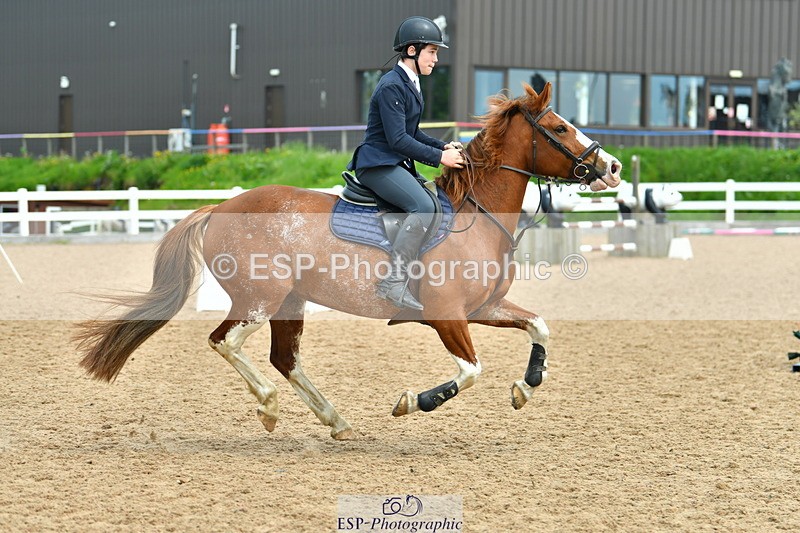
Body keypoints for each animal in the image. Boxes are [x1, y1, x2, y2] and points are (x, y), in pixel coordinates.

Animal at [75, 82, 622, 440]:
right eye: (559, 127)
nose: (612, 167)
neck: (477, 215)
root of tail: (219, 208)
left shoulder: (484, 309)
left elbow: (539, 326)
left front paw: (526, 386)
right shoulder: (447, 316)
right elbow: (471, 370)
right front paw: (414, 402)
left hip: (289, 302)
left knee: (285, 359)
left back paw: (336, 421)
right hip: (260, 298)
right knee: (225, 342)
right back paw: (270, 408)